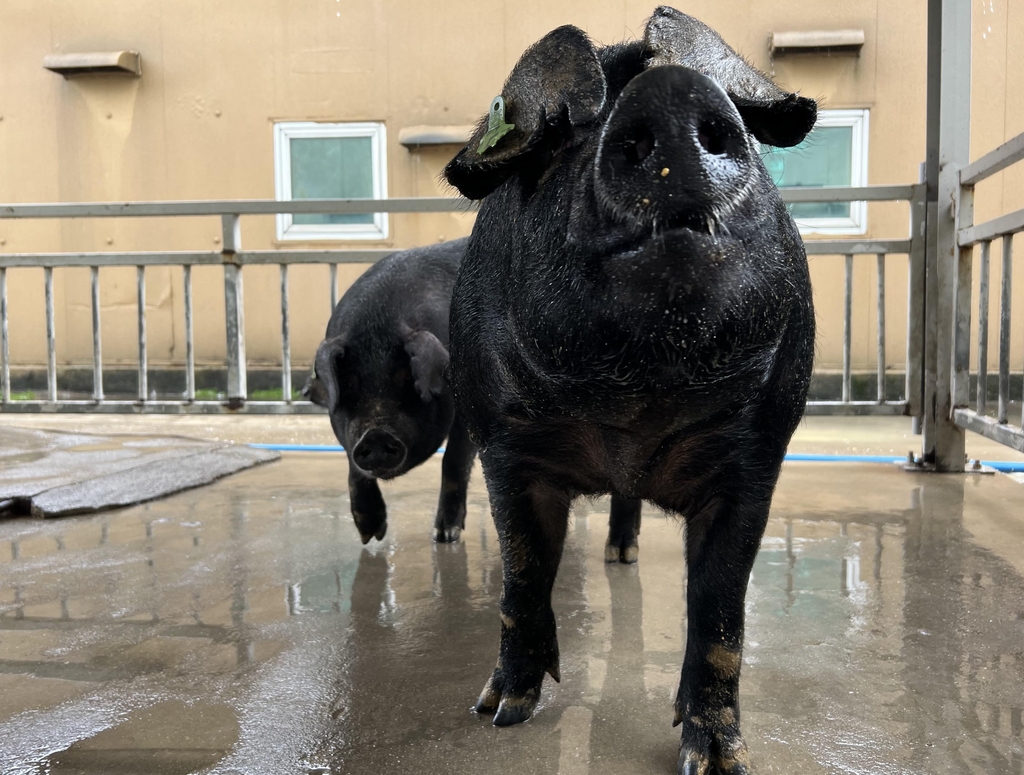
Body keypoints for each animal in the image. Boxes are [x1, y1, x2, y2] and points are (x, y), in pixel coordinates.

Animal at [301, 237, 477, 544]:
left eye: (408, 379)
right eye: (348, 382)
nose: (376, 434)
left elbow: (455, 460)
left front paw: (445, 536)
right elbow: (354, 468)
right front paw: (370, 537)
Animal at [440, 7, 815, 773]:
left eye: (737, 114)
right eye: (562, 134)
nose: (670, 94)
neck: (635, 402)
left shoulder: (758, 451)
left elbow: (721, 608)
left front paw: (716, 758)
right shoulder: (506, 443)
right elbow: (522, 574)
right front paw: (500, 712)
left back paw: (626, 556)